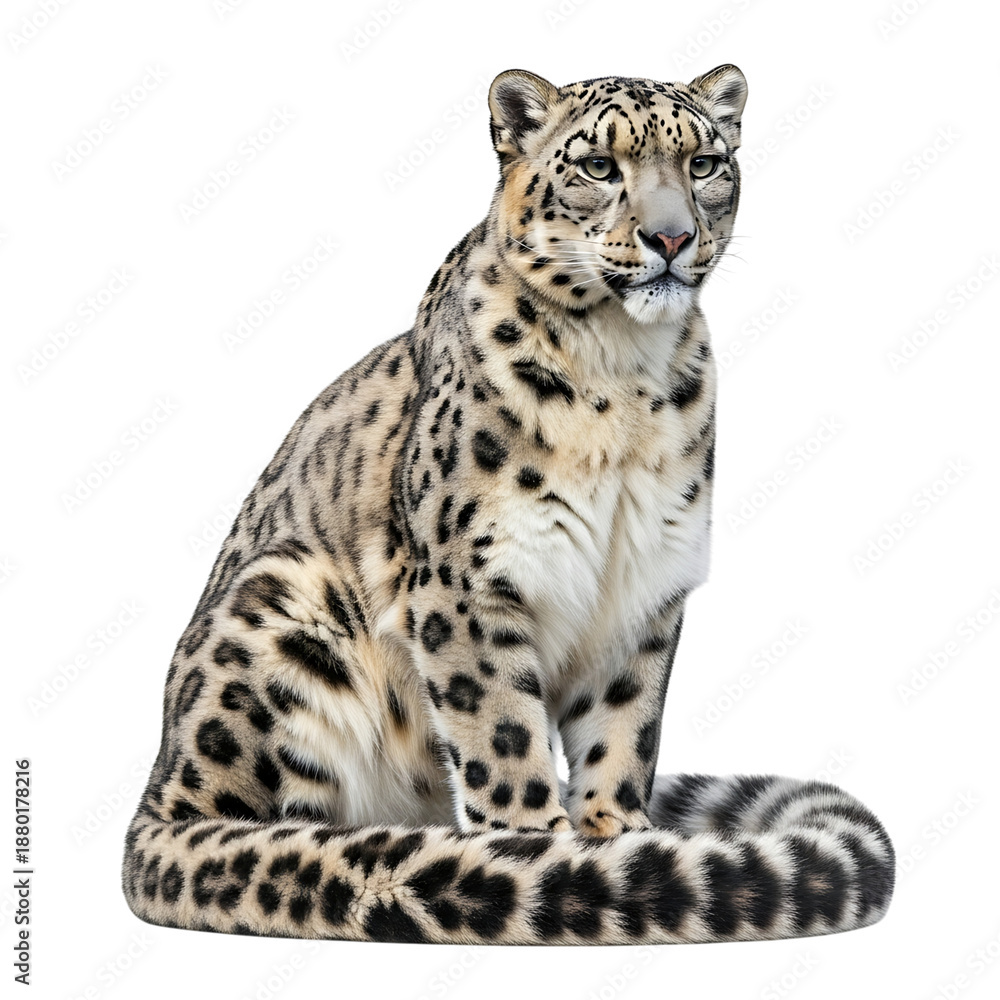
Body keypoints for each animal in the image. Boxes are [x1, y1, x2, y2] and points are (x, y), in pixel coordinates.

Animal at [122, 65, 894, 945]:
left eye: (703, 164)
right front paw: (541, 849)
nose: (670, 238)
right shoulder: (468, 584)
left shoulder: (644, 587)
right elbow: (501, 731)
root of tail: (155, 792)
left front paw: (617, 837)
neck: (625, 369)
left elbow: (623, 729)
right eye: (598, 166)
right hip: (282, 605)